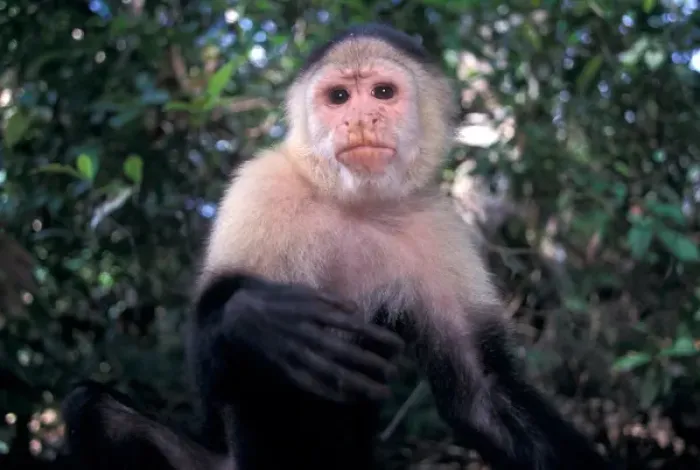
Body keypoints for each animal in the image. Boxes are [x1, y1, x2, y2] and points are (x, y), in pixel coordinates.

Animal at [61, 23, 617, 470]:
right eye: (339, 98)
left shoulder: (437, 228)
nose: (360, 120)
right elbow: (207, 377)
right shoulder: (260, 187)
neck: (352, 204)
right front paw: (262, 323)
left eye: (382, 92)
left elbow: (481, 395)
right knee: (94, 412)